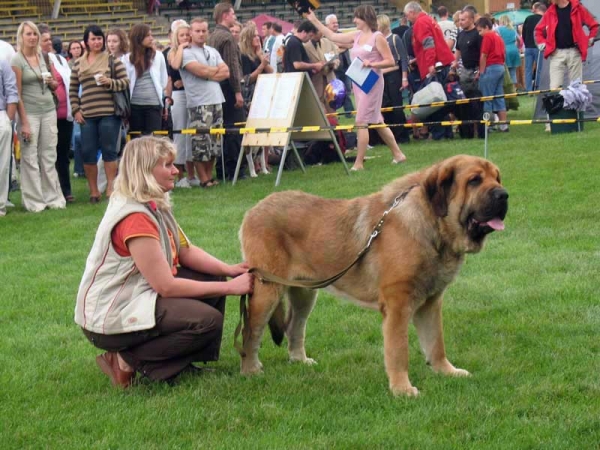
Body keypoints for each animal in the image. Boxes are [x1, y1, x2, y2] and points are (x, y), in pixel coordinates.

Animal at [237, 156, 508, 396]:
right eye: (474, 180)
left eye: (497, 177)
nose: (504, 194)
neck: (431, 225)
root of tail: (252, 210)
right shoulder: (398, 306)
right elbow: (399, 351)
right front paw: (402, 389)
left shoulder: (431, 303)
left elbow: (436, 344)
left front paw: (446, 372)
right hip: (268, 291)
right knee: (251, 331)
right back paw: (250, 370)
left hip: (304, 294)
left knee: (295, 326)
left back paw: (299, 361)